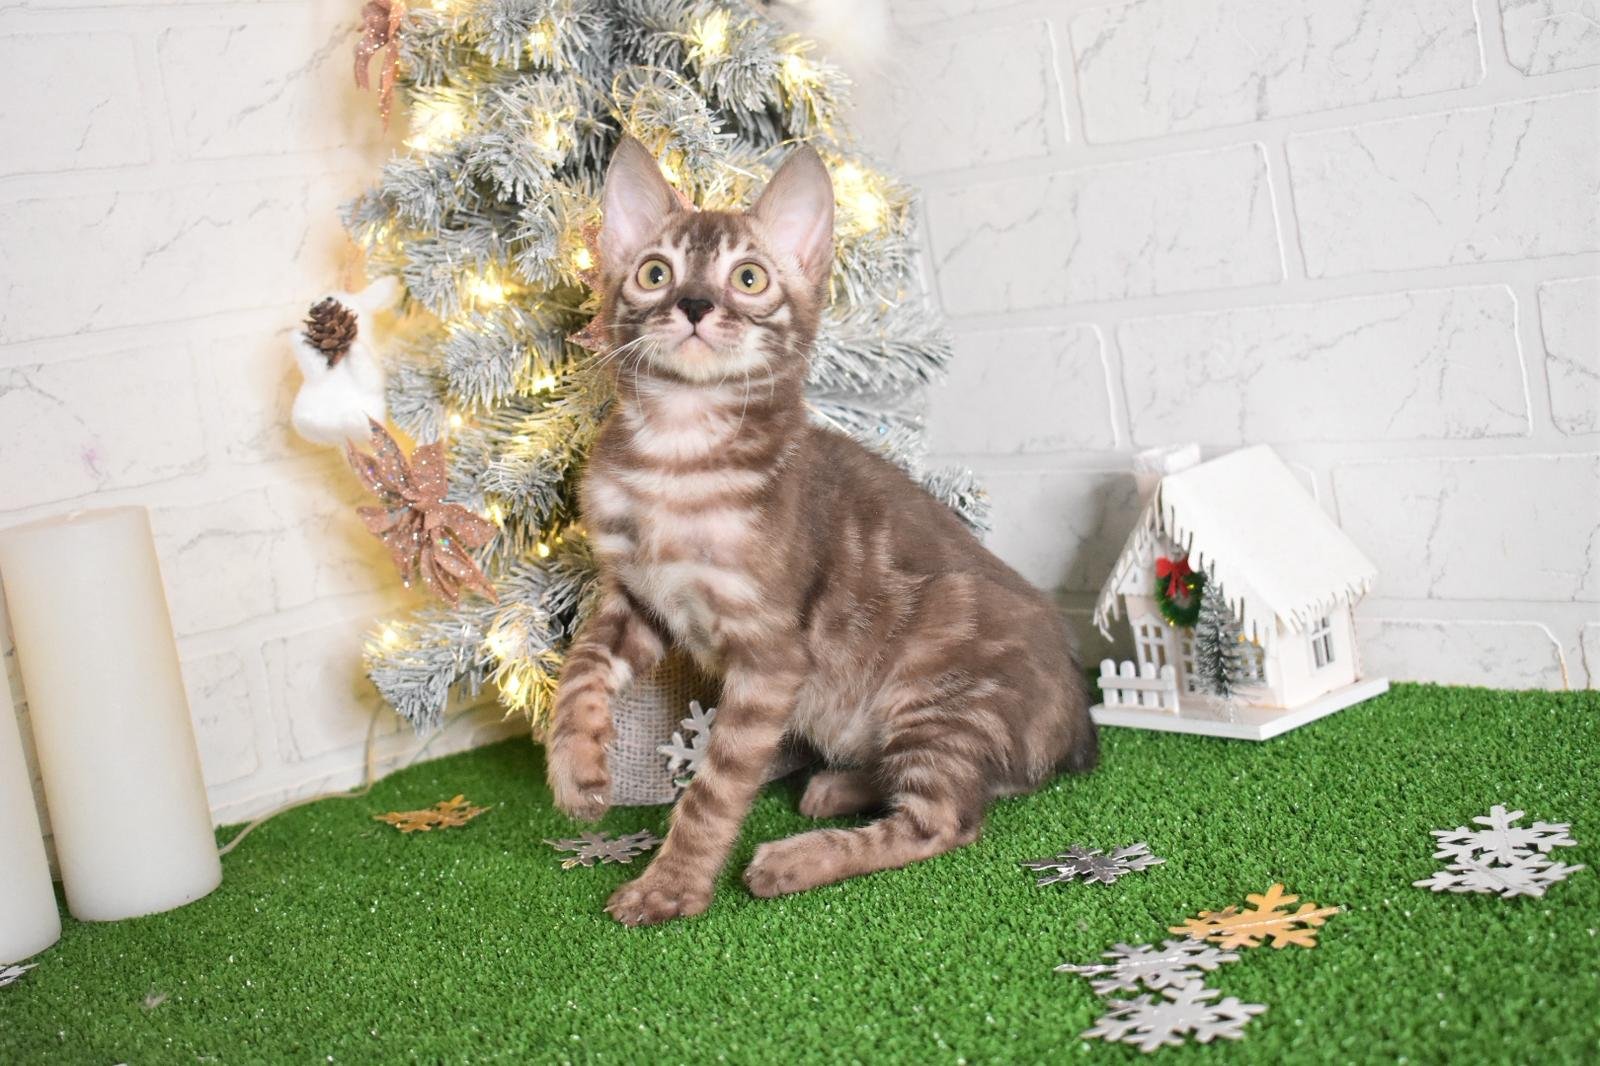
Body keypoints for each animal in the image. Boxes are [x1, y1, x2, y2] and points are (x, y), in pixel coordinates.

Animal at [546, 136, 1097, 926]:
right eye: (655, 272)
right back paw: (840, 786)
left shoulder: (771, 655)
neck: (678, 457)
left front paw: (671, 885)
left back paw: (797, 858)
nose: (693, 304)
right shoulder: (638, 594)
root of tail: (1073, 721)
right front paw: (578, 769)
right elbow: (579, 667)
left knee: (947, 820)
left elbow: (714, 787)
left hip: (939, 691)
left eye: (748, 278)